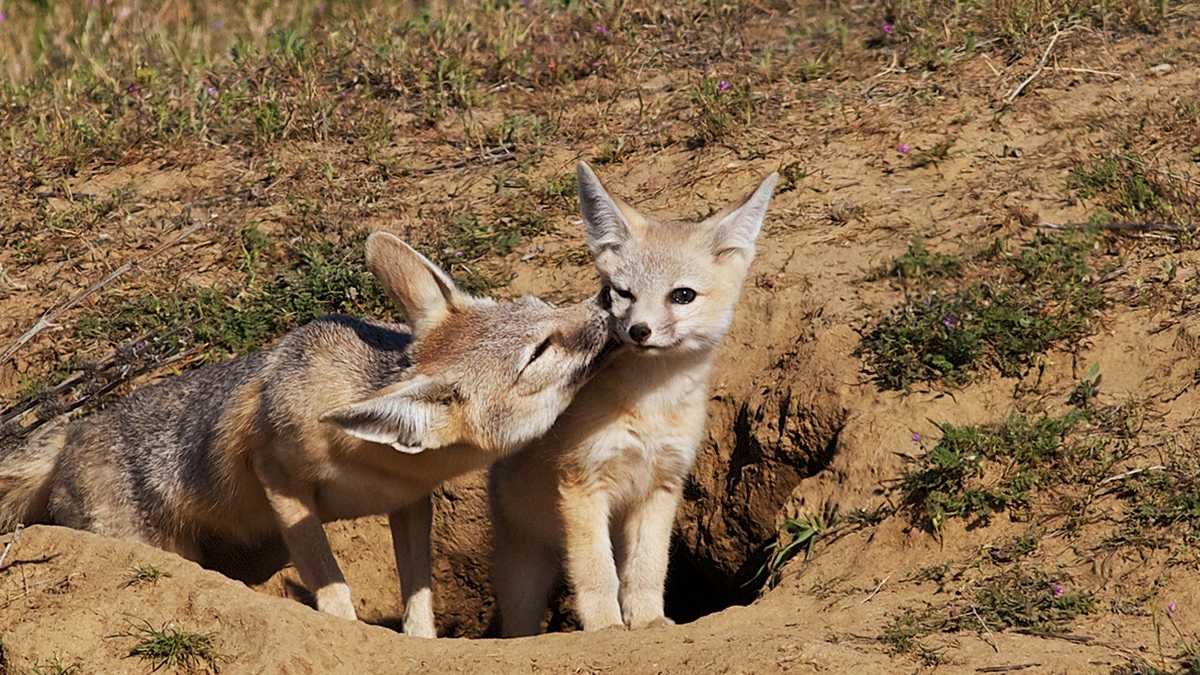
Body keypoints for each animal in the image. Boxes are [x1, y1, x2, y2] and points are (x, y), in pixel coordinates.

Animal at [0, 231, 617, 637]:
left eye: (542, 305)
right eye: (538, 352)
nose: (608, 307)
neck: (374, 465)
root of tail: (75, 430)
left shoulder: (409, 502)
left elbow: (417, 591)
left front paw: (419, 641)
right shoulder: (280, 481)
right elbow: (332, 581)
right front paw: (349, 627)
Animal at [488, 162, 778, 636]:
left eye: (682, 295)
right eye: (622, 293)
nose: (639, 331)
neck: (651, 407)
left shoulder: (662, 486)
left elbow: (646, 569)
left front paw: (648, 622)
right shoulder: (583, 484)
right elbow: (596, 572)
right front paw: (605, 627)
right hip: (524, 573)